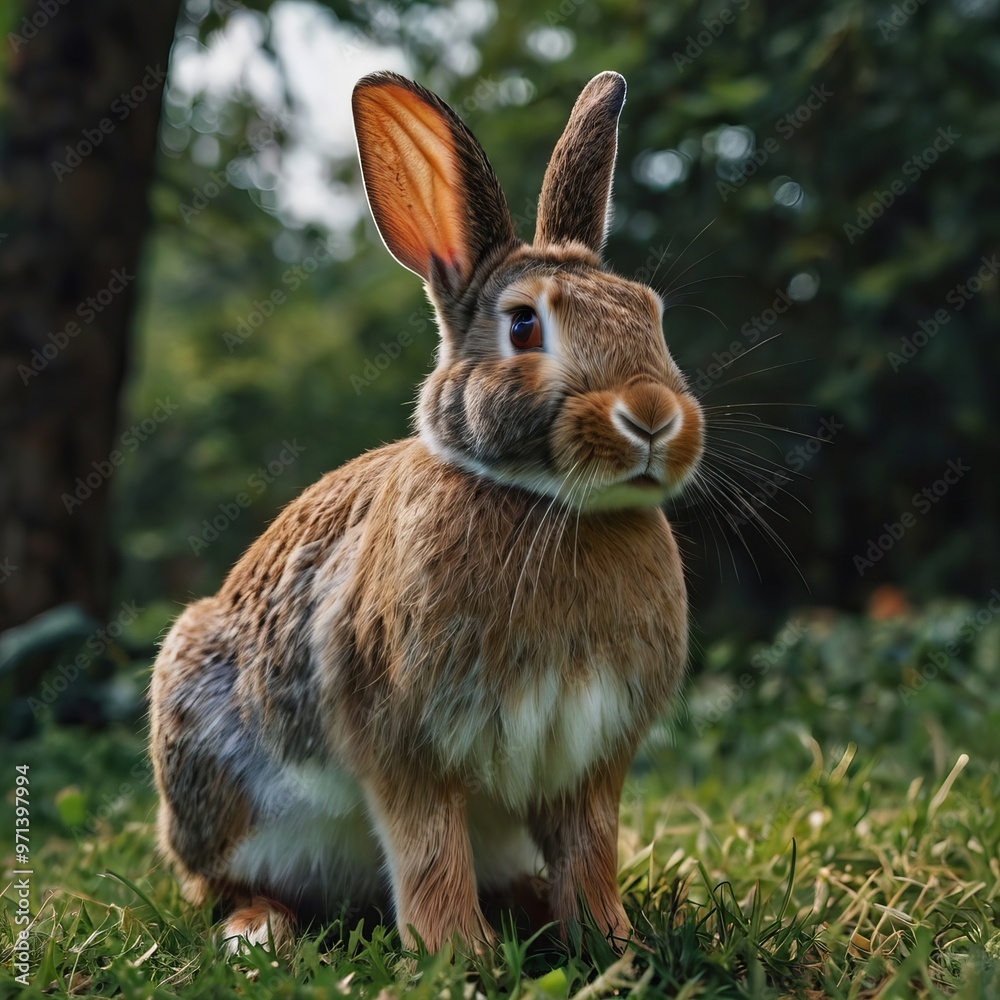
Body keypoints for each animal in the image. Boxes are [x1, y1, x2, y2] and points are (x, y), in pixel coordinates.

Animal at [149, 69, 705, 957]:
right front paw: (457, 956)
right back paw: (256, 932)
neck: (544, 501)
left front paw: (612, 944)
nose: (652, 417)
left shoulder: (587, 762)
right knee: (223, 882)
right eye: (524, 325)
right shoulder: (406, 745)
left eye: (650, 315)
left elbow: (588, 851)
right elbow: (428, 849)